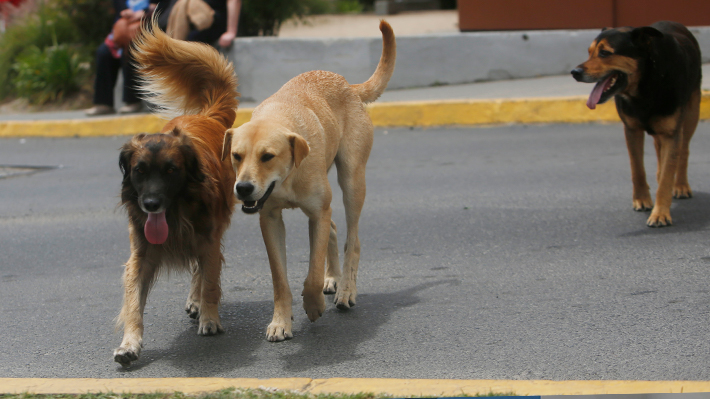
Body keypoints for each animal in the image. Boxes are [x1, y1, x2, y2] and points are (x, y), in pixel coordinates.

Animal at [222, 20, 398, 342]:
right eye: (236, 156)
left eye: (267, 156)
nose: (243, 188)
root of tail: (347, 84)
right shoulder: (270, 219)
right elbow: (279, 279)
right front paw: (281, 321)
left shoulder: (316, 213)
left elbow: (313, 270)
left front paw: (314, 304)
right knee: (334, 229)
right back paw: (334, 279)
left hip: (352, 181)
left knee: (352, 239)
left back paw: (346, 290)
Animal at [572, 21, 700, 228]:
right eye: (589, 52)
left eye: (605, 53)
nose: (575, 72)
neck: (645, 83)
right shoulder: (631, 129)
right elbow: (637, 168)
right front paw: (642, 200)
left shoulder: (671, 132)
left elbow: (667, 176)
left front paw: (660, 213)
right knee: (659, 150)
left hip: (691, 113)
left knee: (684, 150)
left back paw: (680, 185)